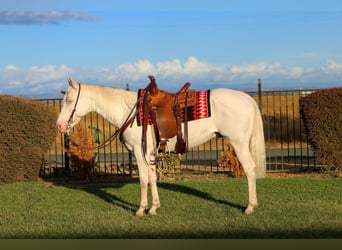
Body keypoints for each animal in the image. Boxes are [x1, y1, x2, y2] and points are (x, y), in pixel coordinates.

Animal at [56, 77, 266, 216]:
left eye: (69, 100)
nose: (60, 125)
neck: (129, 111)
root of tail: (248, 99)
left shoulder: (139, 152)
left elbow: (143, 180)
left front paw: (141, 209)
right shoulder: (149, 154)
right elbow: (152, 178)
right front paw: (153, 208)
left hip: (238, 144)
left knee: (249, 169)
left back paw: (250, 207)